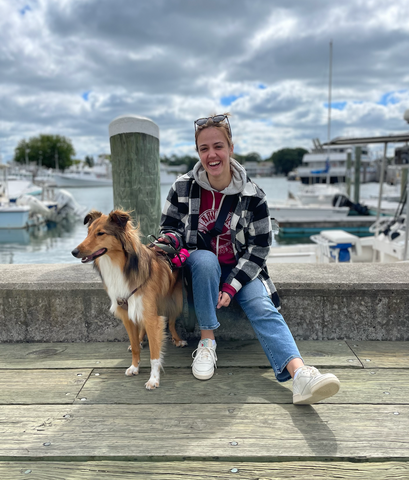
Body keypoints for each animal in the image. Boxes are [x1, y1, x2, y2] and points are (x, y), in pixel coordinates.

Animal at [71, 210, 186, 390]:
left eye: (100, 233)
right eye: (88, 232)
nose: (74, 252)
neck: (118, 264)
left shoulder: (152, 315)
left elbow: (155, 353)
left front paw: (154, 379)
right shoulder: (127, 313)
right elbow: (136, 348)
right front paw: (134, 366)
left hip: (176, 300)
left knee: (172, 322)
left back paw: (177, 339)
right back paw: (139, 340)